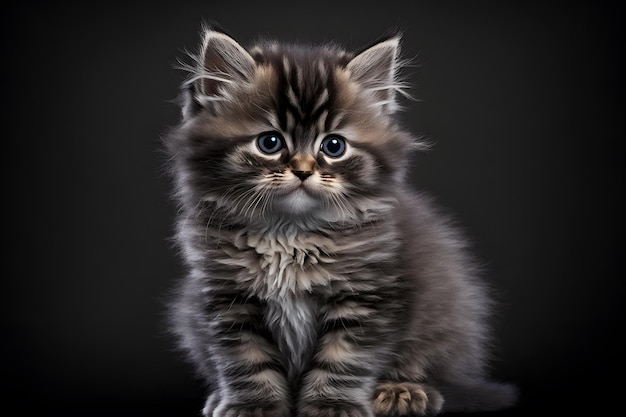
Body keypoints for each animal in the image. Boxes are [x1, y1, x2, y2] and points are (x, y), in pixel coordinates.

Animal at [162, 24, 516, 414]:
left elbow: (343, 359)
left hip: (445, 316)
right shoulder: (226, 297)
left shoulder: (366, 295)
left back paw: (401, 390)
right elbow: (246, 360)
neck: (288, 233)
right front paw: (252, 404)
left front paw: (332, 404)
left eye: (333, 146)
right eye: (269, 143)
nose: (303, 171)